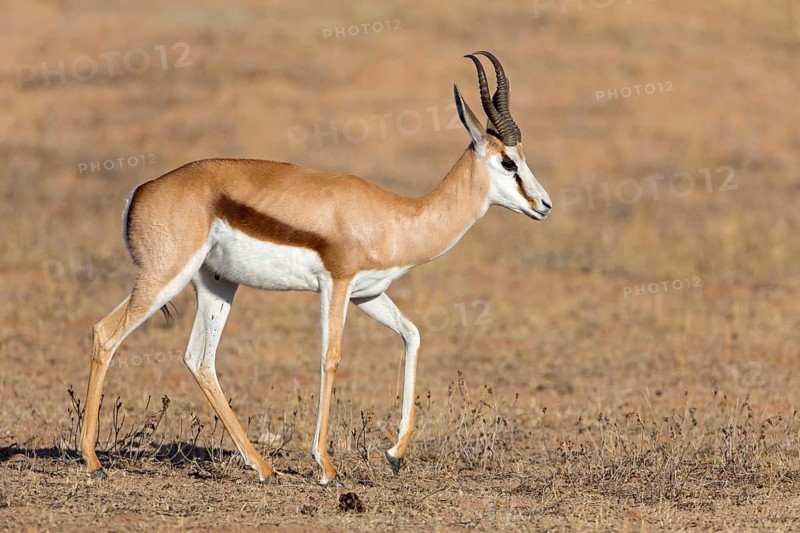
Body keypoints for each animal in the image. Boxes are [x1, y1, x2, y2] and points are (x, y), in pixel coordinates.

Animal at [80, 51, 552, 486]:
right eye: (508, 162)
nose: (544, 204)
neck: (395, 217)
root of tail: (140, 192)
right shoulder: (336, 284)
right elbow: (331, 357)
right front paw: (327, 468)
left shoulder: (368, 293)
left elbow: (413, 334)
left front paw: (394, 454)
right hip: (165, 276)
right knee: (106, 333)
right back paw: (93, 461)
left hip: (217, 284)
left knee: (199, 358)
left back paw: (263, 467)